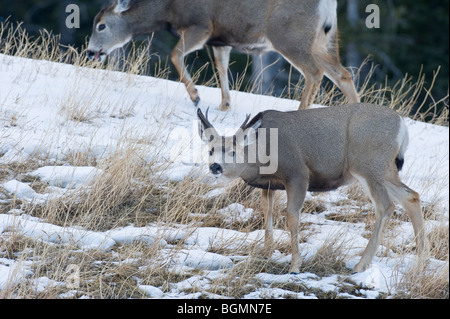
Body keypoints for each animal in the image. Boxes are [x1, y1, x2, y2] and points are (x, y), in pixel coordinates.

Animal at [88, 0, 358, 111]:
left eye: (101, 25)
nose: (91, 52)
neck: (166, 9)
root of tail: (327, 3)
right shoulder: (221, 39)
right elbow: (221, 67)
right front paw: (225, 104)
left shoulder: (201, 25)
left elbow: (175, 55)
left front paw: (196, 96)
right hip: (323, 39)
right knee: (343, 73)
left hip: (288, 35)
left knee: (315, 72)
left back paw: (301, 111)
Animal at [198, 104, 428, 272]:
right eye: (210, 150)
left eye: (233, 151)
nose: (215, 166)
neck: (262, 153)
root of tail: (402, 125)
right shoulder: (270, 184)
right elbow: (267, 212)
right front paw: (267, 252)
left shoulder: (298, 174)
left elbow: (291, 215)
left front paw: (295, 265)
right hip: (386, 170)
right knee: (411, 196)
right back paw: (421, 263)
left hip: (367, 165)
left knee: (385, 206)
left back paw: (361, 265)